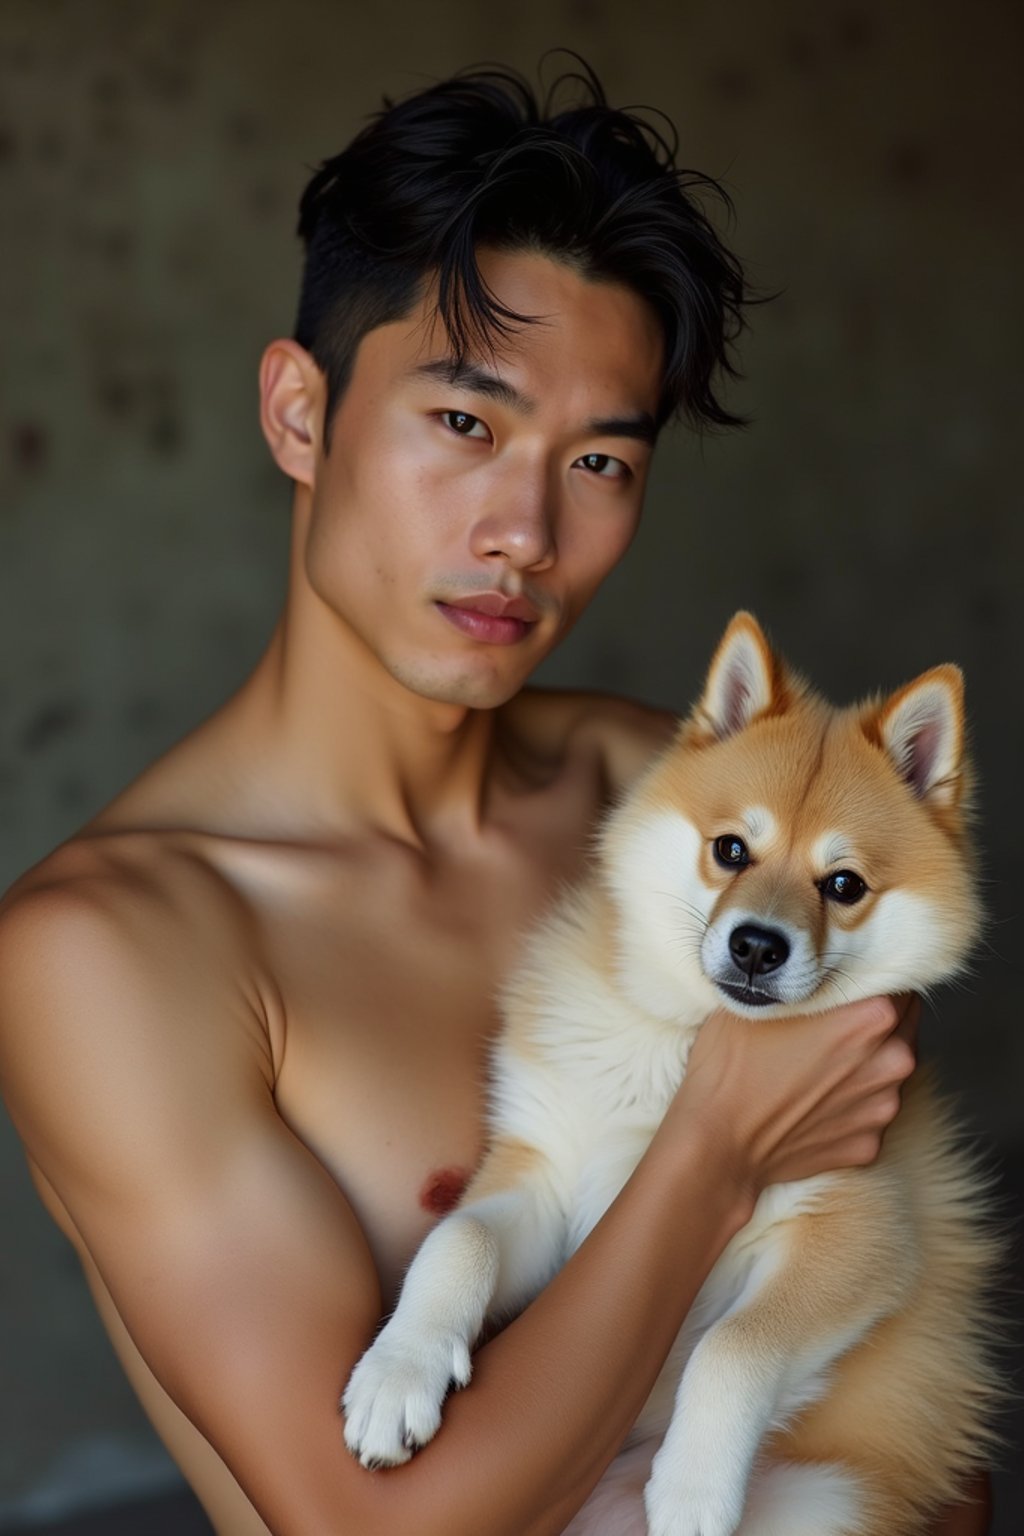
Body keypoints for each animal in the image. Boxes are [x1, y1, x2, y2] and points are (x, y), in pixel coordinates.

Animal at [343, 614, 1000, 1536]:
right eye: (730, 849)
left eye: (844, 885)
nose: (757, 945)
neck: (687, 1045)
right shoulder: (545, 1178)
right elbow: (457, 1242)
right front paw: (399, 1373)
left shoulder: (860, 1230)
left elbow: (734, 1346)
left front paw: (693, 1489)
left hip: (826, 1500)